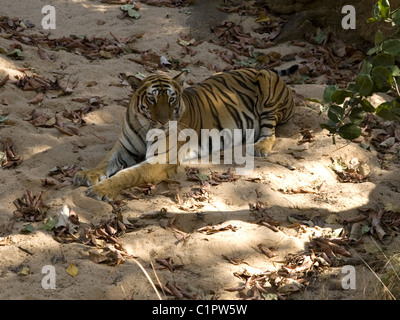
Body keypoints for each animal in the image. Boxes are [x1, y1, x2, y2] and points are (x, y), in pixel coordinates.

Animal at [72, 67, 296, 201]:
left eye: (171, 99)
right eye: (152, 99)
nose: (164, 121)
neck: (146, 126)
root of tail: (263, 67)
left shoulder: (160, 160)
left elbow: (127, 174)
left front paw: (101, 190)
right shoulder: (123, 148)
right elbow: (105, 162)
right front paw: (86, 175)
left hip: (267, 91)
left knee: (271, 132)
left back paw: (259, 147)